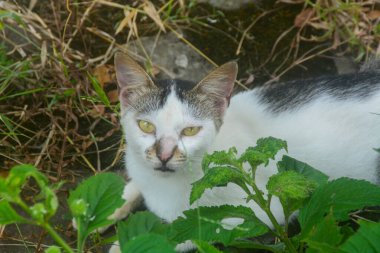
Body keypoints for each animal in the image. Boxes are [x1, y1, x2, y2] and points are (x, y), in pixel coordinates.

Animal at [108, 52, 378, 252]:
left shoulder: (259, 214)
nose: (163, 156)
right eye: (146, 126)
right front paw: (114, 206)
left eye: (190, 130)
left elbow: (180, 234)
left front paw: (122, 246)